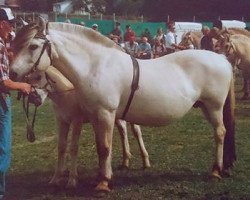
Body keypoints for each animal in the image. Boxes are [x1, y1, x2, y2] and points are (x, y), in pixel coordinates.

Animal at [10, 18, 236, 192]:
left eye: (32, 46)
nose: (12, 73)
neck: (96, 66)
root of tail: (222, 58)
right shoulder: (94, 117)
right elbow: (99, 147)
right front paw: (101, 175)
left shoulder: (105, 113)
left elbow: (104, 147)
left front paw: (103, 183)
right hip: (206, 107)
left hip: (214, 107)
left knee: (220, 133)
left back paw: (215, 170)